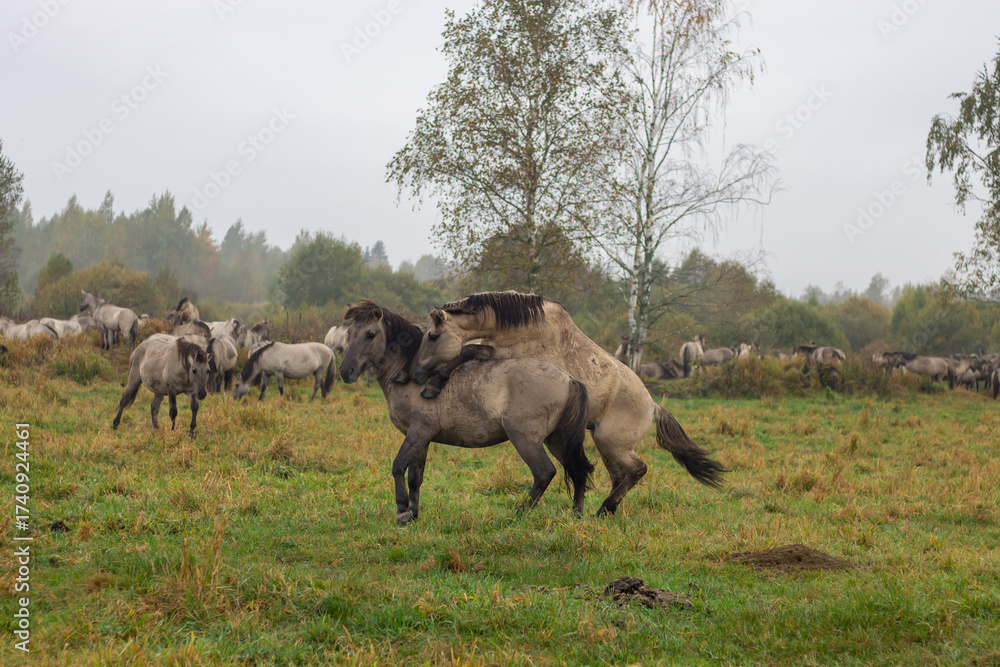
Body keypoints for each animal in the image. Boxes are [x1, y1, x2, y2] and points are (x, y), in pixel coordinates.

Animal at [339, 301, 595, 524]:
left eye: (370, 334)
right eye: (349, 333)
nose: (345, 372)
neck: (408, 378)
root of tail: (569, 379)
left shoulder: (419, 431)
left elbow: (398, 465)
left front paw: (402, 511)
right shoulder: (421, 438)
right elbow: (415, 477)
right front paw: (413, 515)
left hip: (525, 440)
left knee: (544, 472)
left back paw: (518, 515)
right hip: (557, 440)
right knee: (578, 470)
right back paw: (576, 516)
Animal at [409, 291, 726, 516]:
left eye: (433, 336)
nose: (414, 373)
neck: (527, 327)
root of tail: (653, 407)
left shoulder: (500, 353)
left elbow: (467, 350)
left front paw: (435, 385)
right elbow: (469, 350)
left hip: (610, 442)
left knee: (637, 470)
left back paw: (603, 510)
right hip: (606, 445)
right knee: (620, 475)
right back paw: (603, 510)